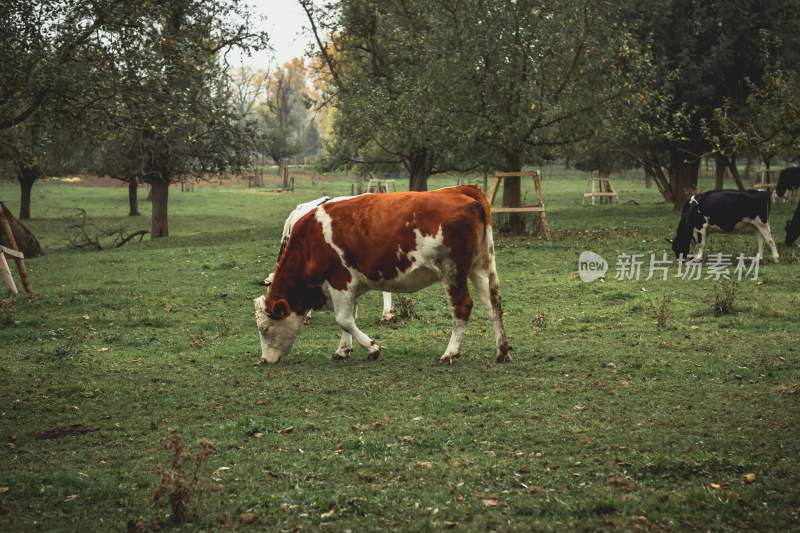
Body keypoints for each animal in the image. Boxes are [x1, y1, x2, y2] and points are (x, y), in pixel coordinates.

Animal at [253, 185, 510, 364]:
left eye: (265, 329)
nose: (265, 360)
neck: (310, 240)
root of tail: (462, 191)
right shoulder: (346, 286)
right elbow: (348, 318)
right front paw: (343, 350)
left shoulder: (340, 280)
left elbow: (343, 319)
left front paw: (372, 348)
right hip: (481, 267)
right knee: (493, 304)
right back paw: (502, 351)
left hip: (452, 271)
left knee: (462, 307)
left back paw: (450, 353)